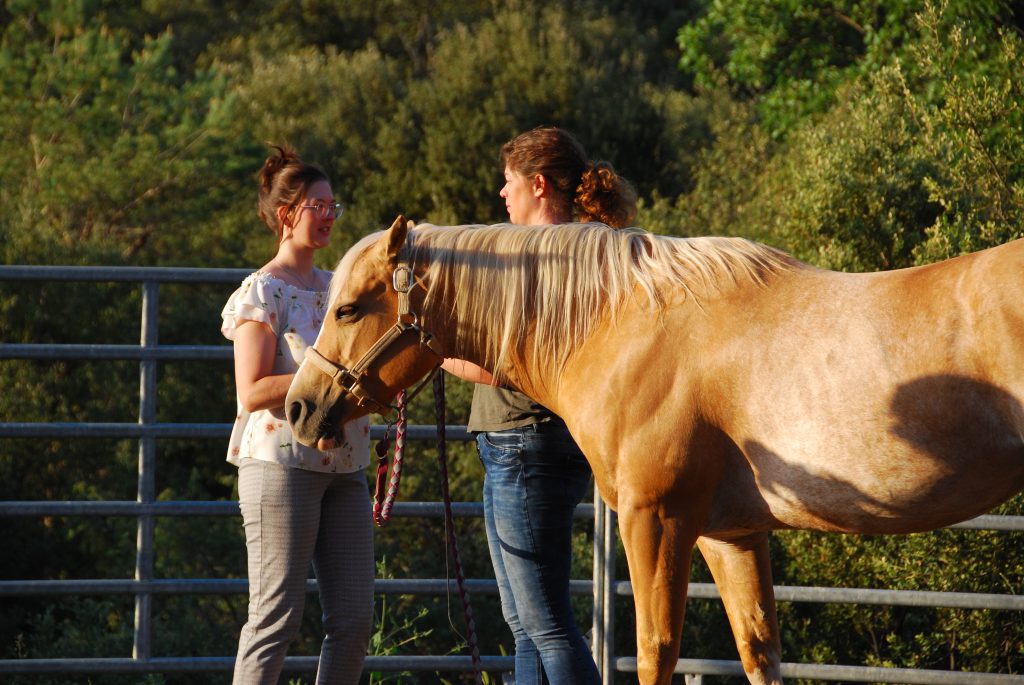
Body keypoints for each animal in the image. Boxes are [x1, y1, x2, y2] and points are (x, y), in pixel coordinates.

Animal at [286, 216, 1024, 683]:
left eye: (349, 308)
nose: (299, 406)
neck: (618, 324)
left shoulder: (656, 519)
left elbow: (653, 649)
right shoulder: (732, 532)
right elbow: (759, 648)